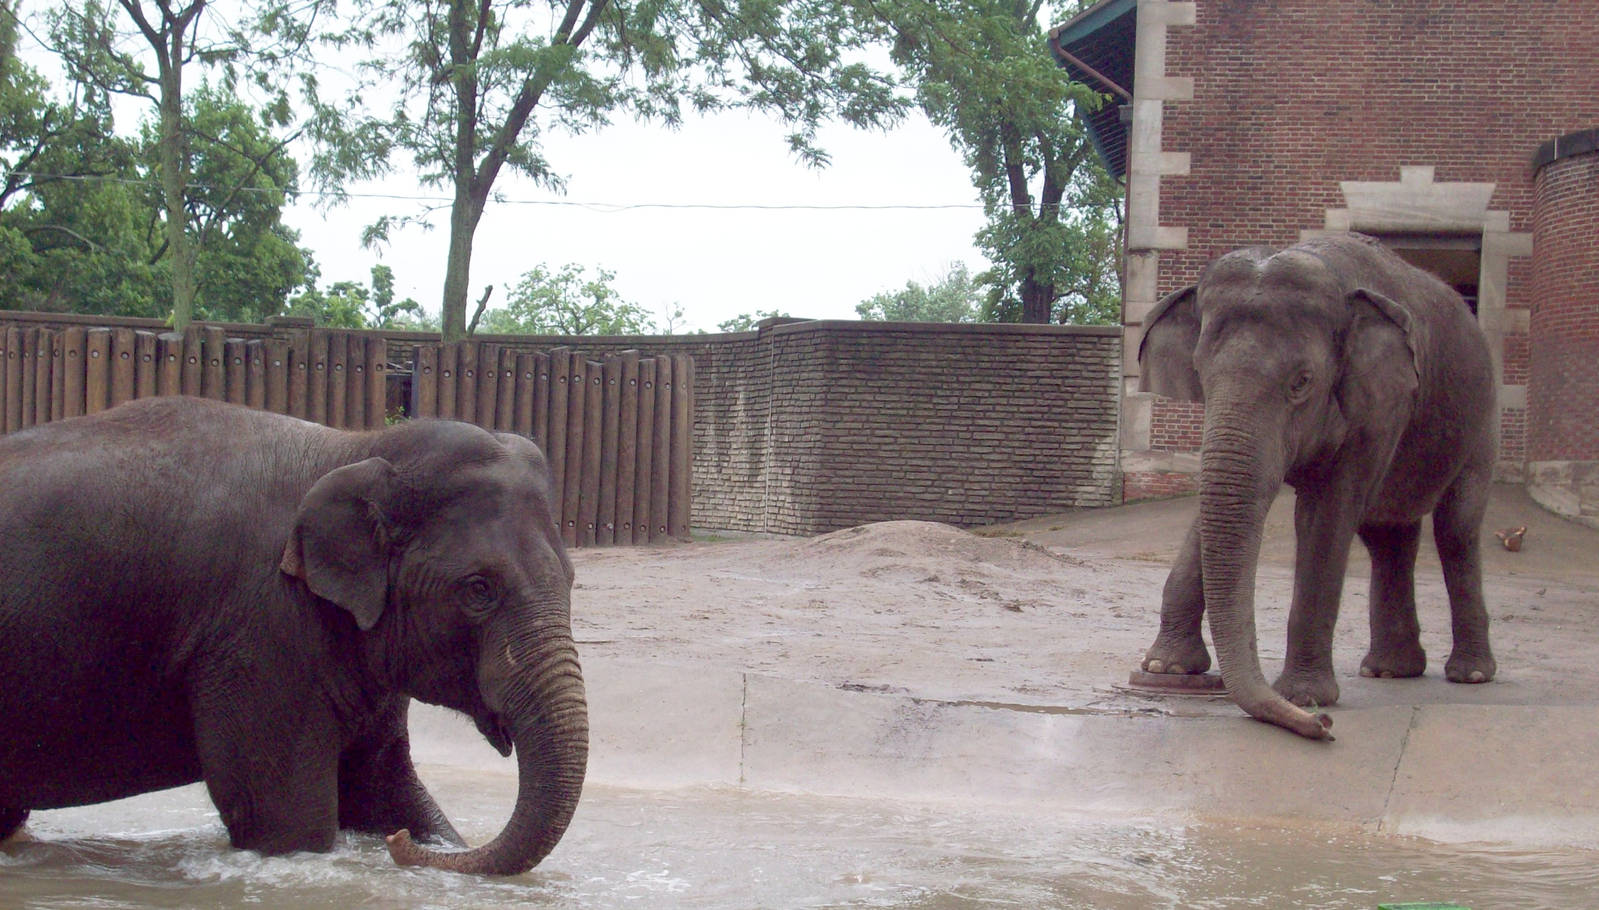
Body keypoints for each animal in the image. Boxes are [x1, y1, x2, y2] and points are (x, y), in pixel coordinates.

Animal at [0, 396, 586, 875]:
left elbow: (381, 785)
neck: (352, 448)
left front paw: (407, 829)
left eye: (571, 579)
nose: (398, 846)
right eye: (478, 589)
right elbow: (283, 815)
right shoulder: (258, 630)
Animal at [1136, 233, 1497, 739]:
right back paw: (1390, 670)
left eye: (1302, 382)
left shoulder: (1380, 406)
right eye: (1201, 373)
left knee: (1456, 529)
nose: (1323, 726)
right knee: (1388, 536)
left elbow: (1327, 514)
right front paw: (1166, 668)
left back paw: (1471, 674)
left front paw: (1303, 697)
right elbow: (1213, 505)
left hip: (1481, 420)